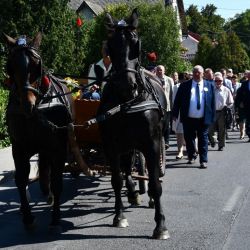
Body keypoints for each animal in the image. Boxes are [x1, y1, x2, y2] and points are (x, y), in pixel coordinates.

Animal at [4, 33, 73, 230]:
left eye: (36, 65)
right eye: (11, 66)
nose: (28, 105)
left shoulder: (58, 148)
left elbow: (57, 181)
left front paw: (56, 217)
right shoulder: (19, 147)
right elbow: (21, 180)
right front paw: (27, 218)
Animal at [96, 9, 169, 240]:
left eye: (135, 43)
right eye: (110, 45)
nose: (127, 85)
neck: (128, 102)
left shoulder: (152, 144)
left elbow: (155, 183)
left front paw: (160, 225)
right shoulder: (111, 145)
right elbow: (116, 180)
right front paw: (119, 216)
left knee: (150, 174)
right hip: (127, 145)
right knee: (128, 167)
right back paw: (132, 193)